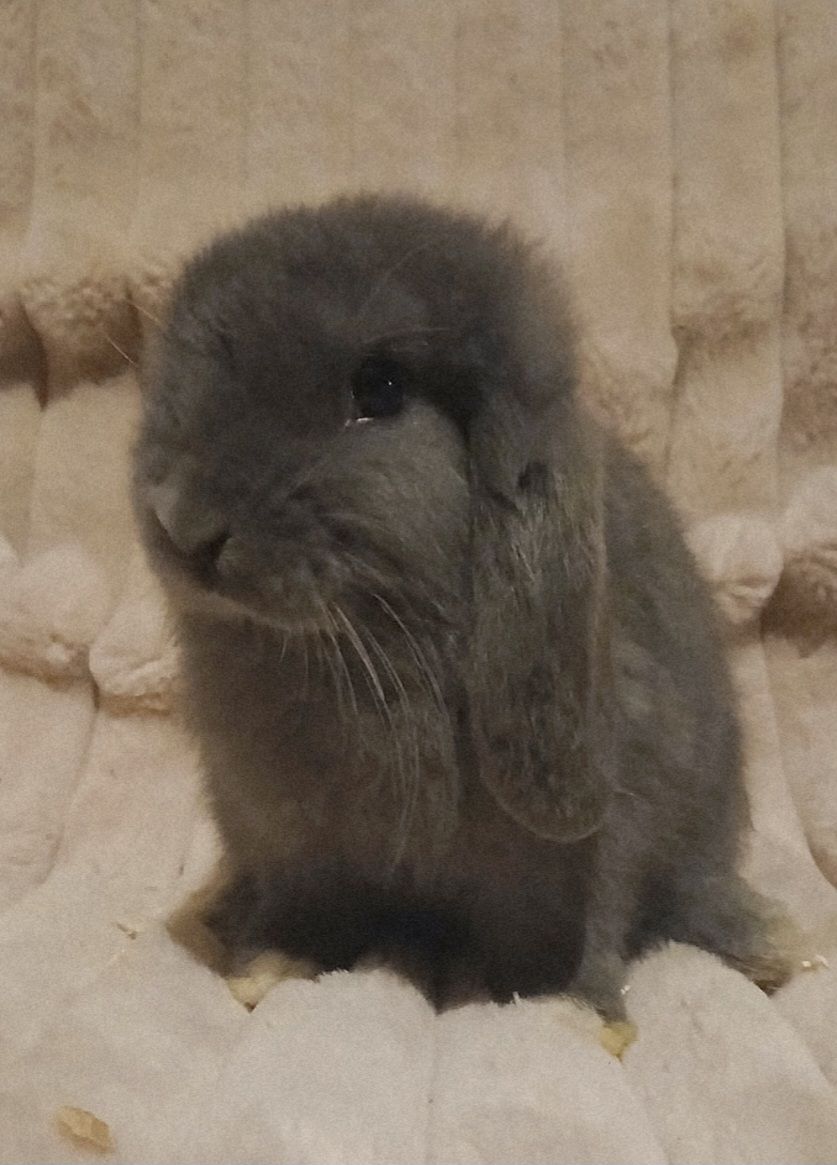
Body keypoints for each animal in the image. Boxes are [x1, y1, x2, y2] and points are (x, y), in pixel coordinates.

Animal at [133, 191, 793, 1019]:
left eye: (381, 389)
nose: (182, 520)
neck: (373, 636)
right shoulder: (292, 844)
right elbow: (306, 907)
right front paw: (270, 965)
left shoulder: (588, 848)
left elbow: (584, 922)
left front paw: (568, 1007)